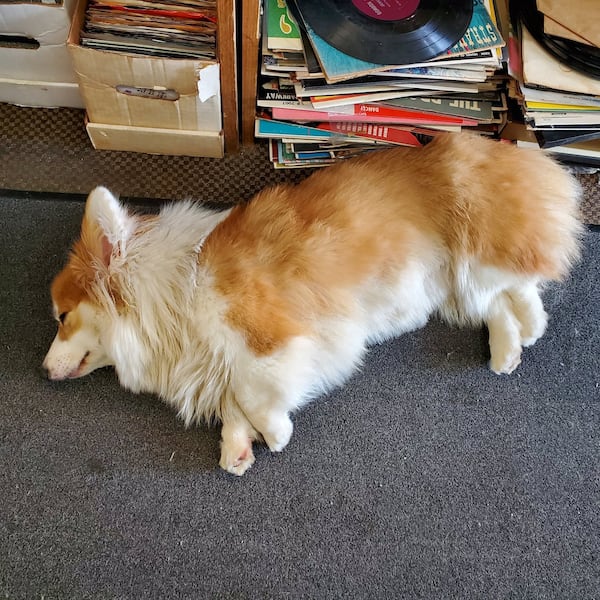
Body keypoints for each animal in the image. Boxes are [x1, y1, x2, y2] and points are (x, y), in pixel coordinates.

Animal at [42, 134, 580, 476]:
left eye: (63, 317)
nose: (43, 370)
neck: (173, 290)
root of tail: (515, 154)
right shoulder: (218, 359)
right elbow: (233, 401)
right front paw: (237, 451)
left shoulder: (267, 337)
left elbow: (251, 392)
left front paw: (273, 435)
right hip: (456, 290)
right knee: (497, 304)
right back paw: (508, 350)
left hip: (474, 255)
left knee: (524, 282)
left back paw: (532, 324)